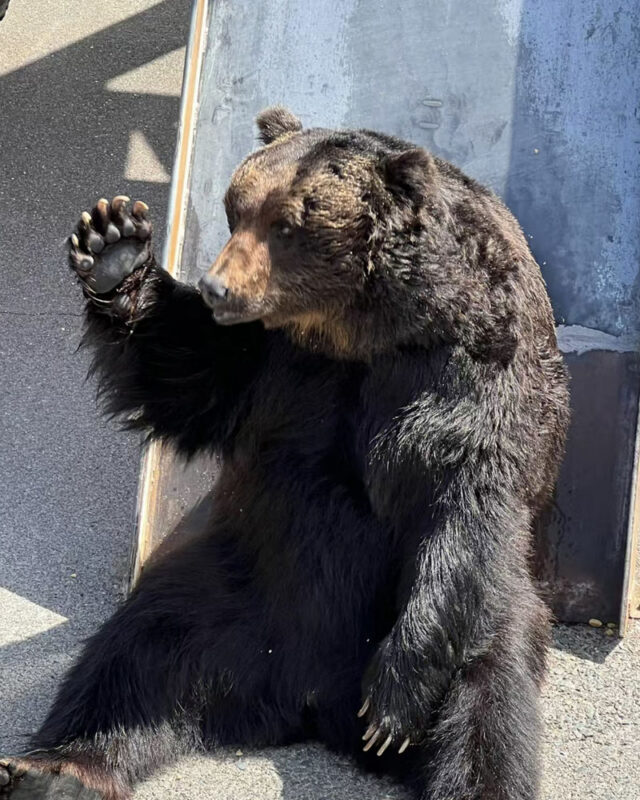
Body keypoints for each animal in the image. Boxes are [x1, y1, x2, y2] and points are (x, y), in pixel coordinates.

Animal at [0, 107, 569, 800]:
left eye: (287, 223)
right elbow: (187, 372)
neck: (360, 332)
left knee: (489, 707)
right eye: (235, 208)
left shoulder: (473, 361)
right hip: (234, 589)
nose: (216, 287)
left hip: (489, 617)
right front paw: (113, 243)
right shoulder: (272, 362)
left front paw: (392, 703)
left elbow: (465, 499)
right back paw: (55, 767)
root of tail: (308, 703)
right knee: (130, 657)